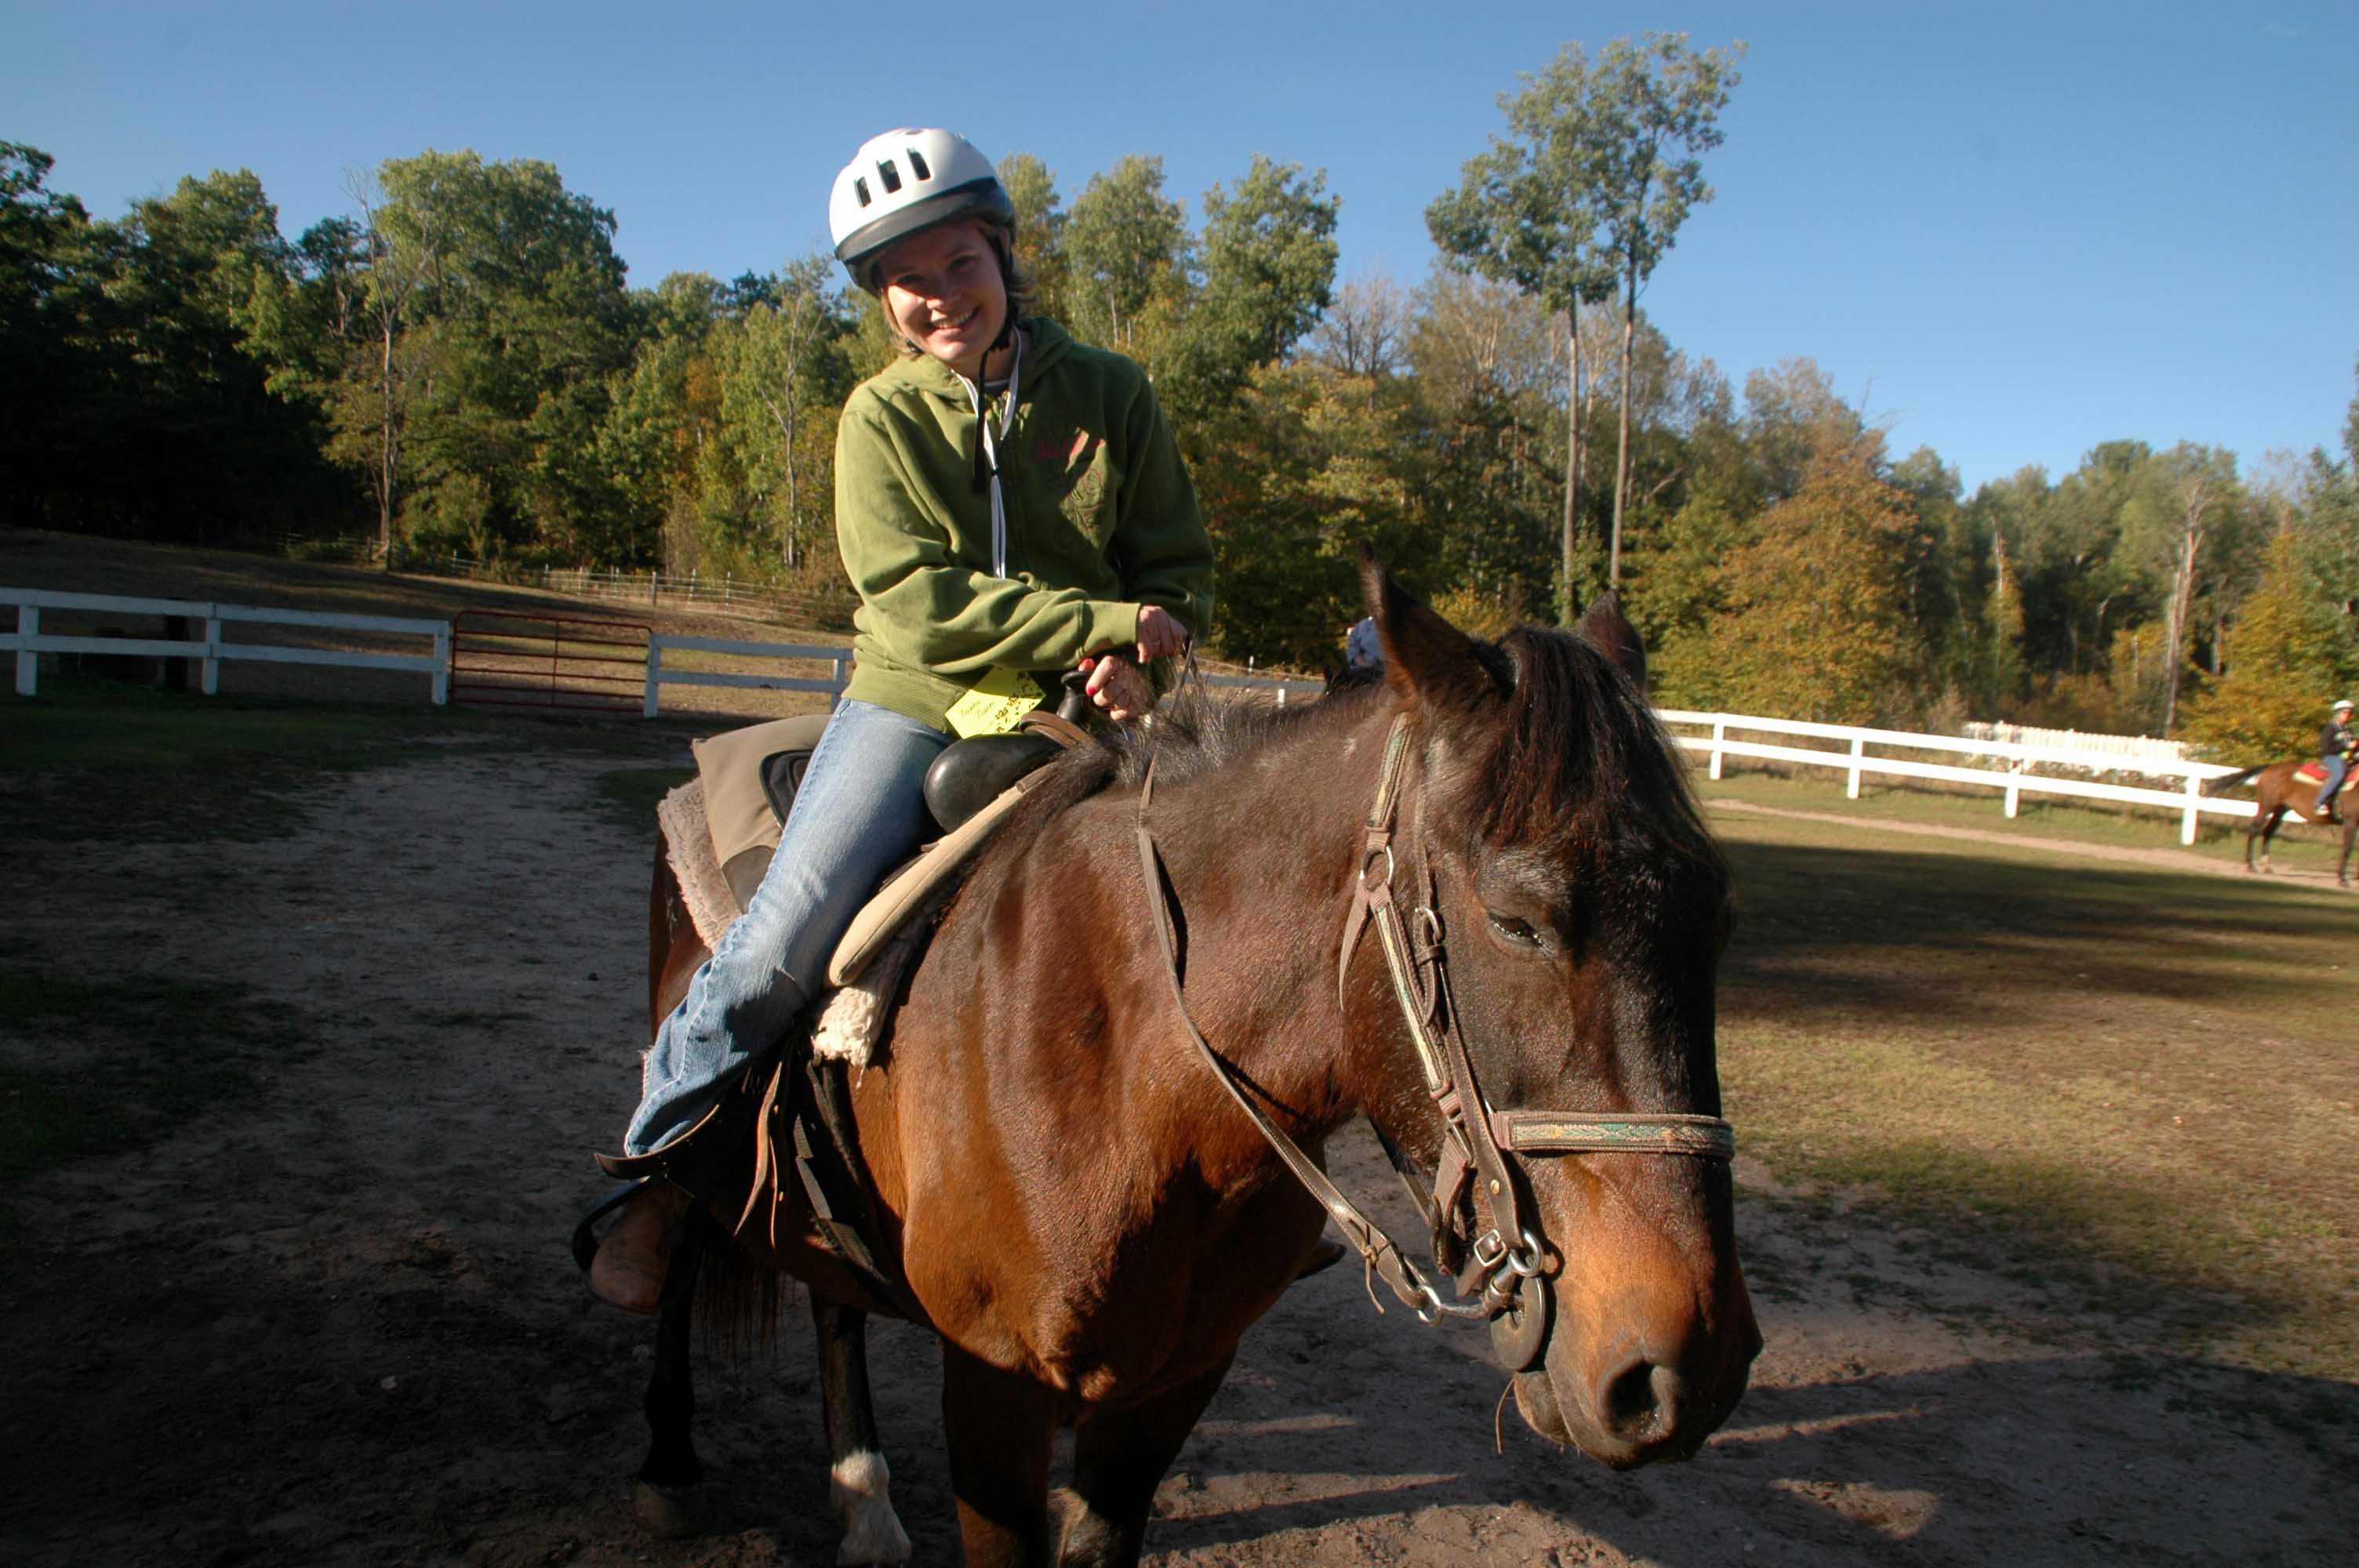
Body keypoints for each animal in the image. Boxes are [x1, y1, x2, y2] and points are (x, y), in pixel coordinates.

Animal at [618, 558, 1762, 1565]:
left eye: (1718, 917)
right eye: (1518, 920)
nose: (1685, 1367)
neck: (1139, 1078)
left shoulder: (1172, 1387)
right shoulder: (993, 1385)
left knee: (830, 1295)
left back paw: (862, 1502)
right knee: (676, 1242)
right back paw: (666, 1461)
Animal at [2205, 759, 2359, 883]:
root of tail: (2271, 767)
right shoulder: (2351, 822)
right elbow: (2348, 848)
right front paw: (2343, 879)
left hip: (2281, 810)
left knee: (2268, 831)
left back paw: (2267, 866)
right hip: (2266, 807)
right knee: (2254, 829)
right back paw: (2251, 866)